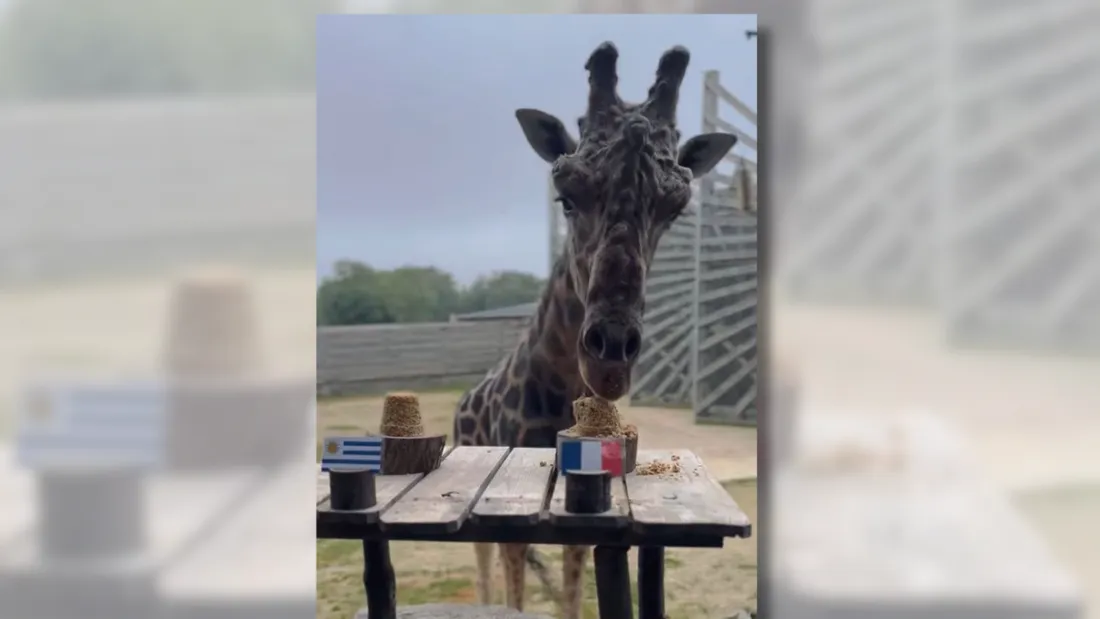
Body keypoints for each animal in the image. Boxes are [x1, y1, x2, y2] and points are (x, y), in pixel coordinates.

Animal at [455, 41, 739, 615]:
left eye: (676, 208)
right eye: (564, 195)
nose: (610, 361)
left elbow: (569, 594)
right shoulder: (510, 517)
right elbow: (516, 596)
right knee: (483, 569)